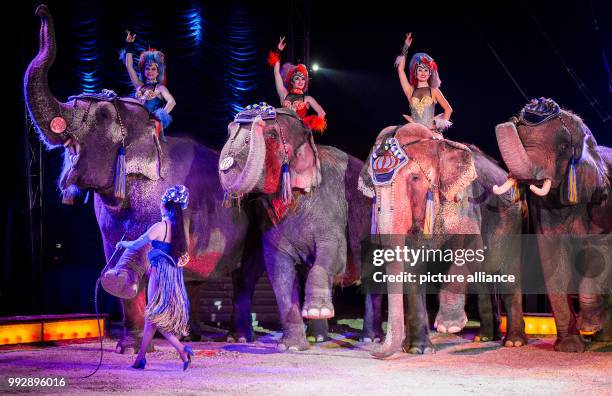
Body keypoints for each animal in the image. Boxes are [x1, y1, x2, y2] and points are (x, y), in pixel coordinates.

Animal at [25, 5, 262, 352]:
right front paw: (130, 346)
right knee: (194, 279)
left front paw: (118, 282)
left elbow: (149, 239)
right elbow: (113, 248)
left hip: (255, 223)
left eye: (102, 116)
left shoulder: (161, 191)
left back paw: (238, 336)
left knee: (245, 277)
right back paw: (189, 336)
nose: (40, 10)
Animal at [220, 107, 372, 350]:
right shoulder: (268, 222)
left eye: (272, 135)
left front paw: (316, 311)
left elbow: (335, 255)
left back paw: (369, 339)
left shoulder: (333, 208)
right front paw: (291, 346)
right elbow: (279, 271)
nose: (254, 118)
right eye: (229, 132)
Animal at [358, 122, 524, 358]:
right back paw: (485, 337)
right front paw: (418, 349)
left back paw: (513, 342)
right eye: (372, 186)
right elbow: (413, 268)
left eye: (415, 179)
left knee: (508, 272)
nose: (374, 351)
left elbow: (470, 248)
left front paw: (449, 326)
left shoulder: (464, 199)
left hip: (512, 218)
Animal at [494, 99, 608, 352]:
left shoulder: (603, 199)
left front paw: (589, 325)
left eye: (564, 147)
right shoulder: (543, 208)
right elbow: (553, 257)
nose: (517, 117)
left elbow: (600, 251)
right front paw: (569, 348)